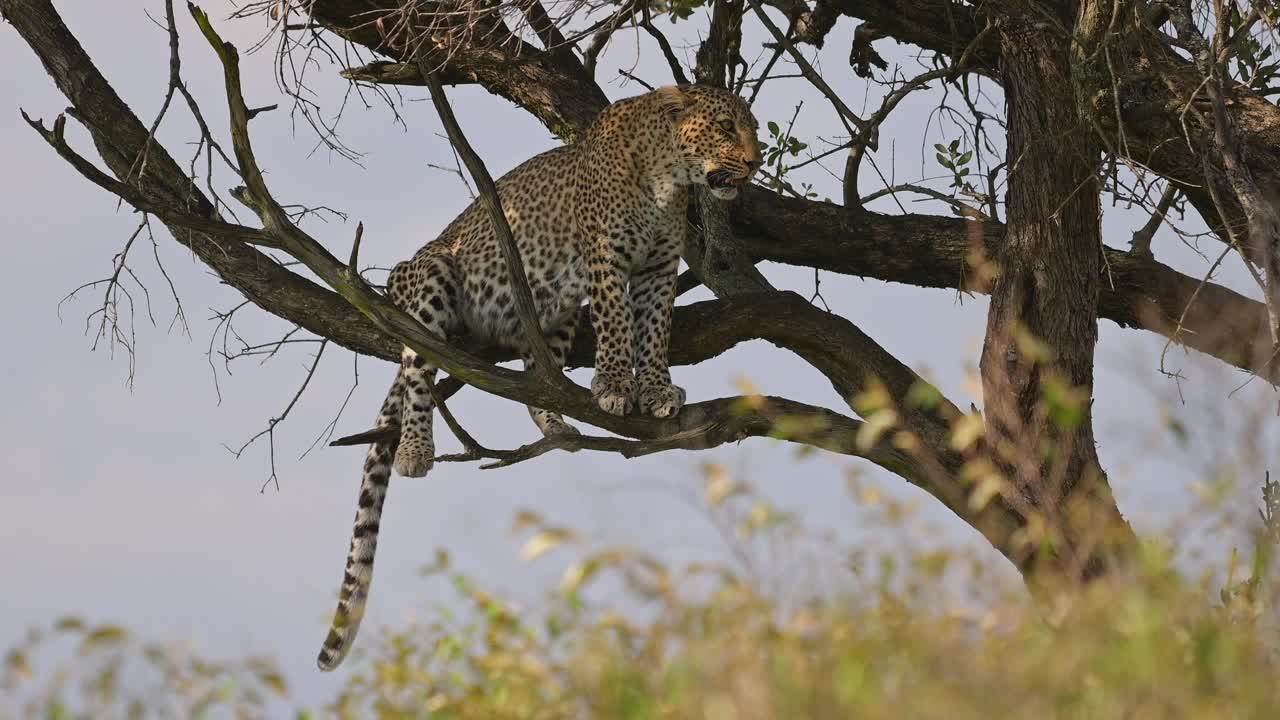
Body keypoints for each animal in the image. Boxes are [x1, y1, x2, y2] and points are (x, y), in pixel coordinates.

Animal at [317, 85, 757, 671]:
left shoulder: (659, 268)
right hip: (425, 279)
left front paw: (655, 389)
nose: (754, 163)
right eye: (726, 127)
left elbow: (654, 331)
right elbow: (617, 323)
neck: (669, 178)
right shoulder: (606, 257)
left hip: (554, 310)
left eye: (752, 128)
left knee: (536, 376)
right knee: (416, 372)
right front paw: (615, 387)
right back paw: (415, 448)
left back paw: (557, 424)